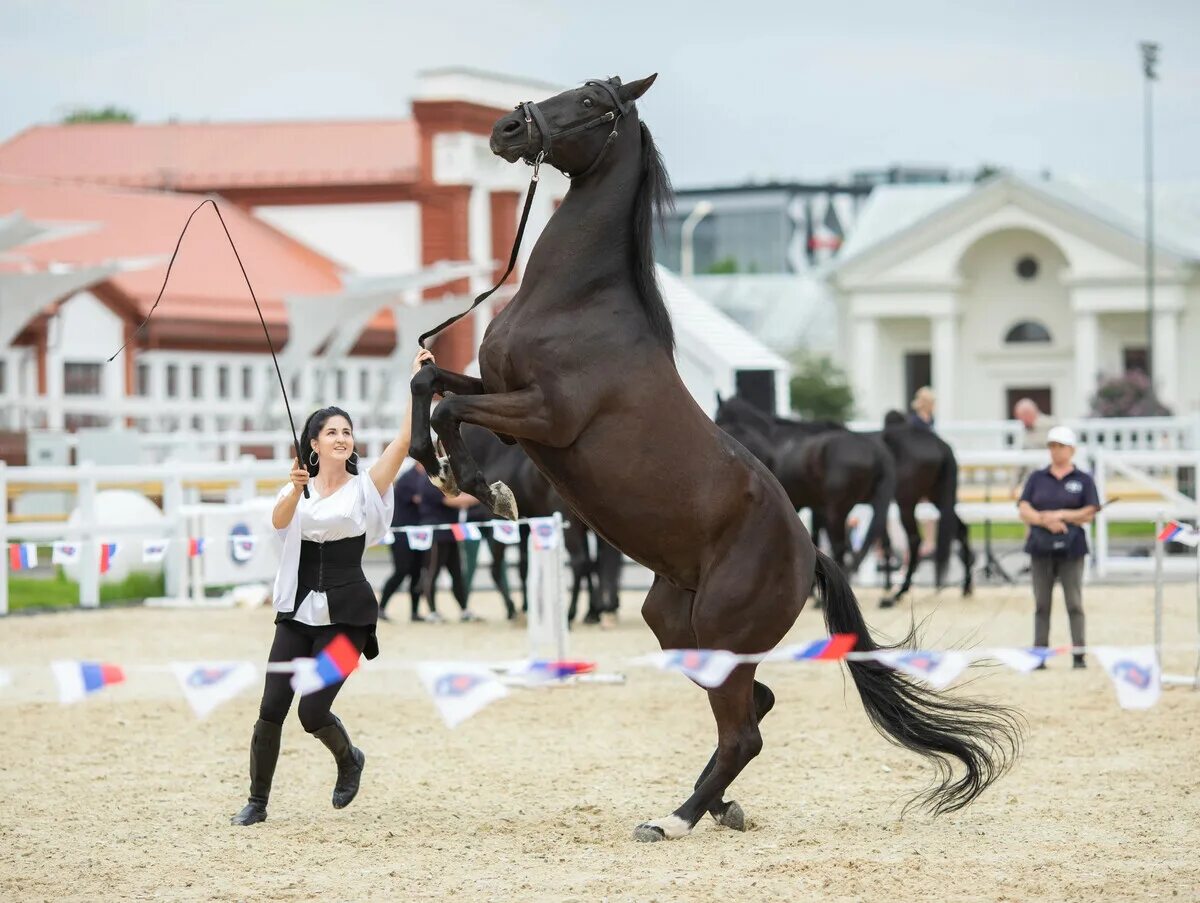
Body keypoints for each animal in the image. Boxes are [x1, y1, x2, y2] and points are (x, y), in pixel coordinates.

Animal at [408, 72, 1017, 840]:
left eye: (591, 103)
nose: (506, 129)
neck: (577, 304)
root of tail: (809, 552)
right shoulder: (503, 396)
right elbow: (429, 382)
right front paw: (431, 460)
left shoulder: (543, 415)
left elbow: (447, 408)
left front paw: (478, 484)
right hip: (678, 626)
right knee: (754, 709)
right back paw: (718, 804)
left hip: (723, 633)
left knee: (743, 732)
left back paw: (677, 817)